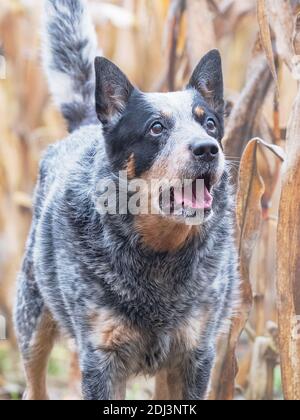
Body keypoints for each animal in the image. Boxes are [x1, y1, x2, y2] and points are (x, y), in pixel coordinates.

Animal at [14, 0, 239, 400]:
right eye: (156, 128)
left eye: (210, 123)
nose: (207, 149)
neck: (161, 254)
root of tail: (89, 123)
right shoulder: (102, 359)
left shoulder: (195, 355)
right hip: (32, 320)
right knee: (33, 383)